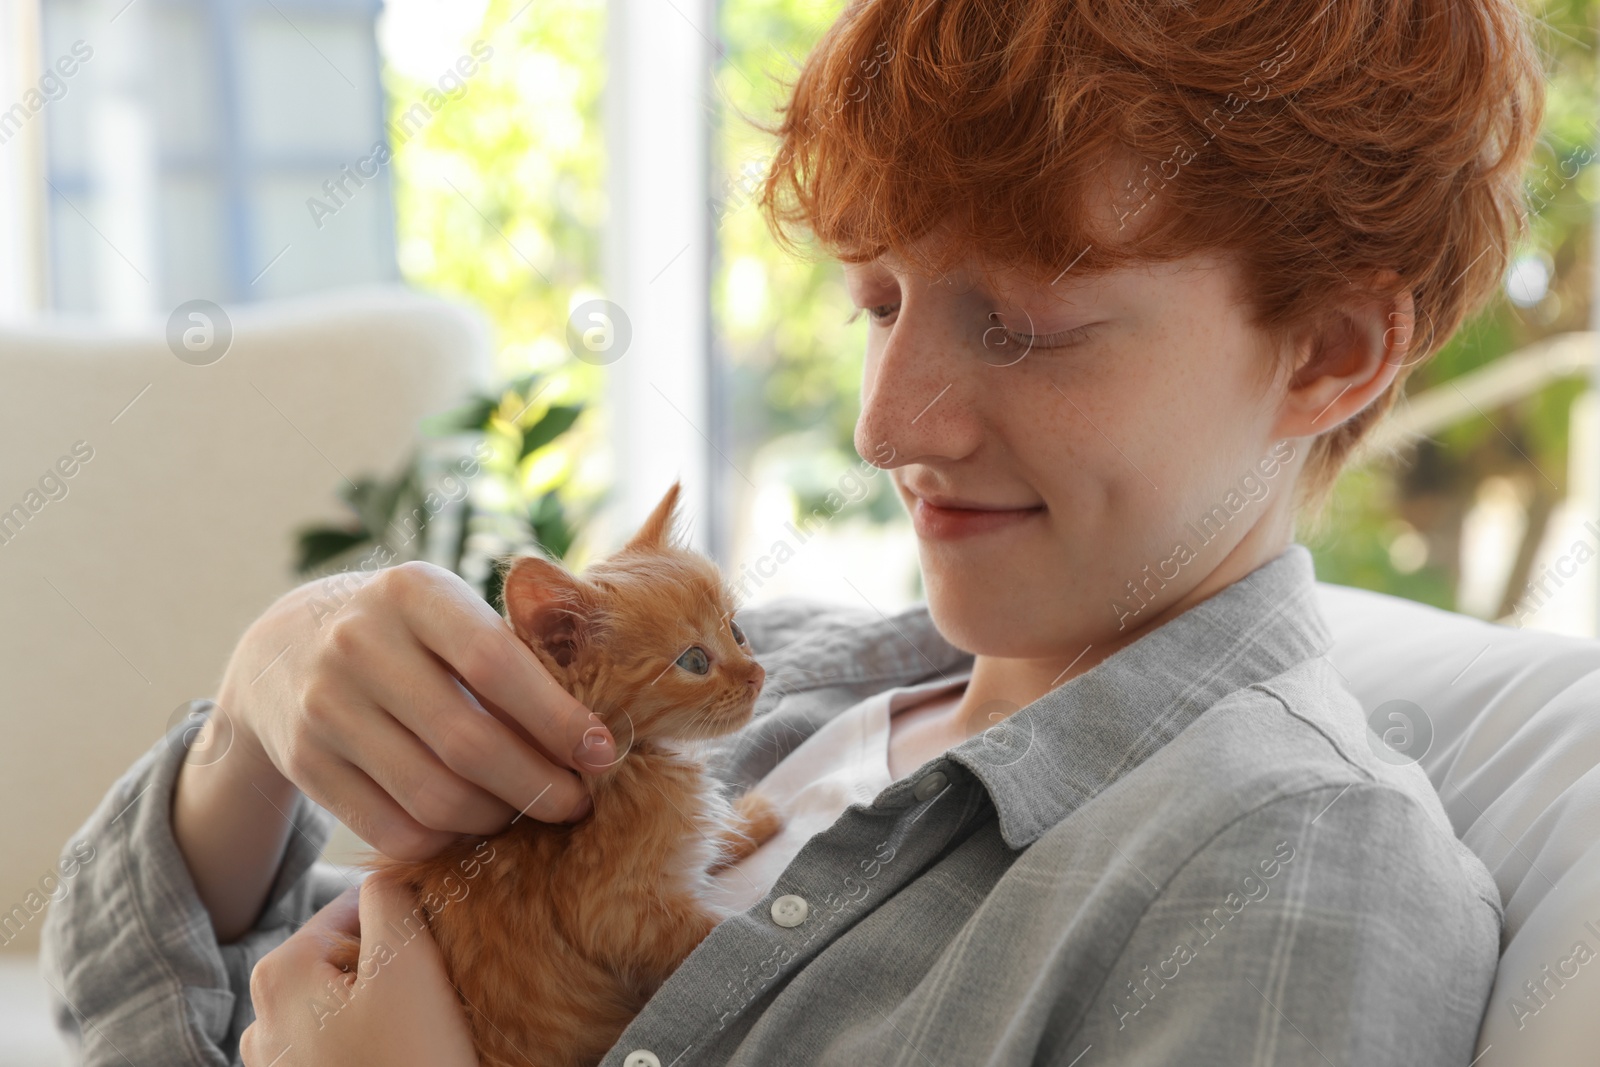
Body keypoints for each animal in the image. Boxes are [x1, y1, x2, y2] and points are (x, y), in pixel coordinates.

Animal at [326, 486, 780, 1067]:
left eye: (737, 631)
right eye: (695, 661)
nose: (757, 674)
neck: (629, 765)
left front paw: (753, 819)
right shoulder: (614, 913)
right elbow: (713, 932)